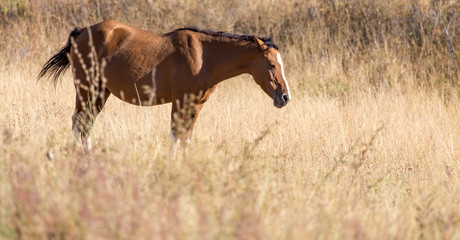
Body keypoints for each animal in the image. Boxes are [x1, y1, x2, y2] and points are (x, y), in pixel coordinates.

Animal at [38, 20, 292, 159]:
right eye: (271, 64)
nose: (285, 97)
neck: (204, 56)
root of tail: (81, 32)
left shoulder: (196, 105)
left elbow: (186, 137)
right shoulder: (180, 101)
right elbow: (175, 136)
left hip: (101, 92)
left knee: (86, 124)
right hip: (85, 89)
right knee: (77, 122)